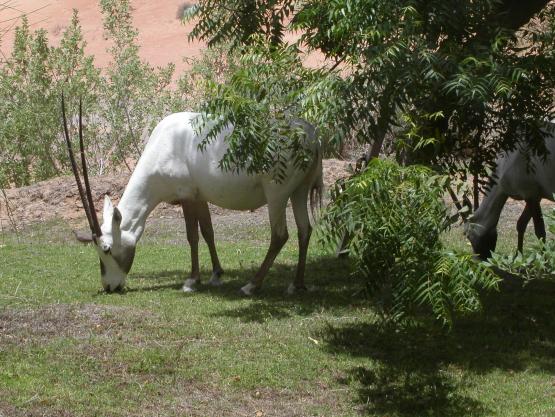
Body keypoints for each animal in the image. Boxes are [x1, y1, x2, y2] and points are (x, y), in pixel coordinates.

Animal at [64, 96, 326, 292]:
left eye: (106, 249)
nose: (110, 286)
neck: (165, 144)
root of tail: (312, 136)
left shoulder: (187, 196)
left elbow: (192, 236)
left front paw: (191, 280)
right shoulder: (200, 197)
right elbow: (208, 232)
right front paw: (216, 275)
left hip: (276, 194)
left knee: (280, 235)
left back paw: (251, 286)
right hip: (299, 190)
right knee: (305, 229)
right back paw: (296, 284)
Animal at [464, 123, 555, 258]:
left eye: (468, 235)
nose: (478, 259)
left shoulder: (531, 194)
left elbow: (540, 232)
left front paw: (544, 260)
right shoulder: (534, 196)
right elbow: (521, 224)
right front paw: (519, 255)